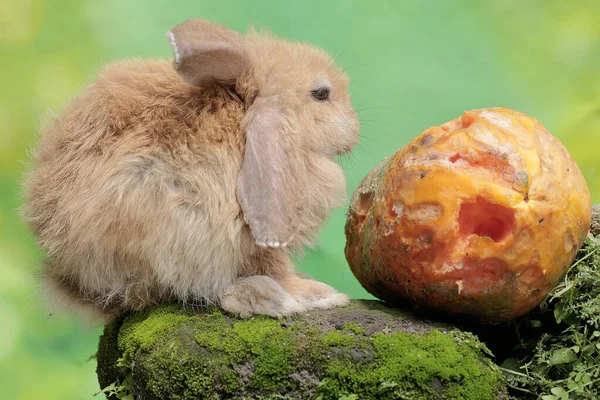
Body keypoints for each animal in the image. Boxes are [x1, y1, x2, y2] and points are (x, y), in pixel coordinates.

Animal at [22, 18, 360, 322]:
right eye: (321, 93)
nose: (355, 131)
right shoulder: (250, 233)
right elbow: (273, 266)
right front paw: (315, 294)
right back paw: (276, 298)